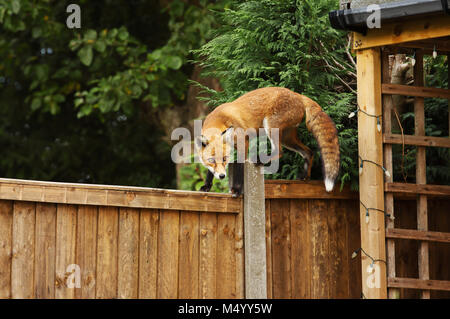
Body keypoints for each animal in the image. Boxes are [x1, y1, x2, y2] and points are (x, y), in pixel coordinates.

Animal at [195, 86, 340, 194]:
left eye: (225, 159)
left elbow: (241, 167)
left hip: (271, 127)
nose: (222, 176)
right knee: (308, 152)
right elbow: (209, 172)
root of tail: (297, 94)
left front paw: (237, 189)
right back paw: (305, 176)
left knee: (279, 151)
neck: (220, 119)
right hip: (288, 139)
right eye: (212, 160)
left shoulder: (243, 142)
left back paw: (260, 160)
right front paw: (206, 186)